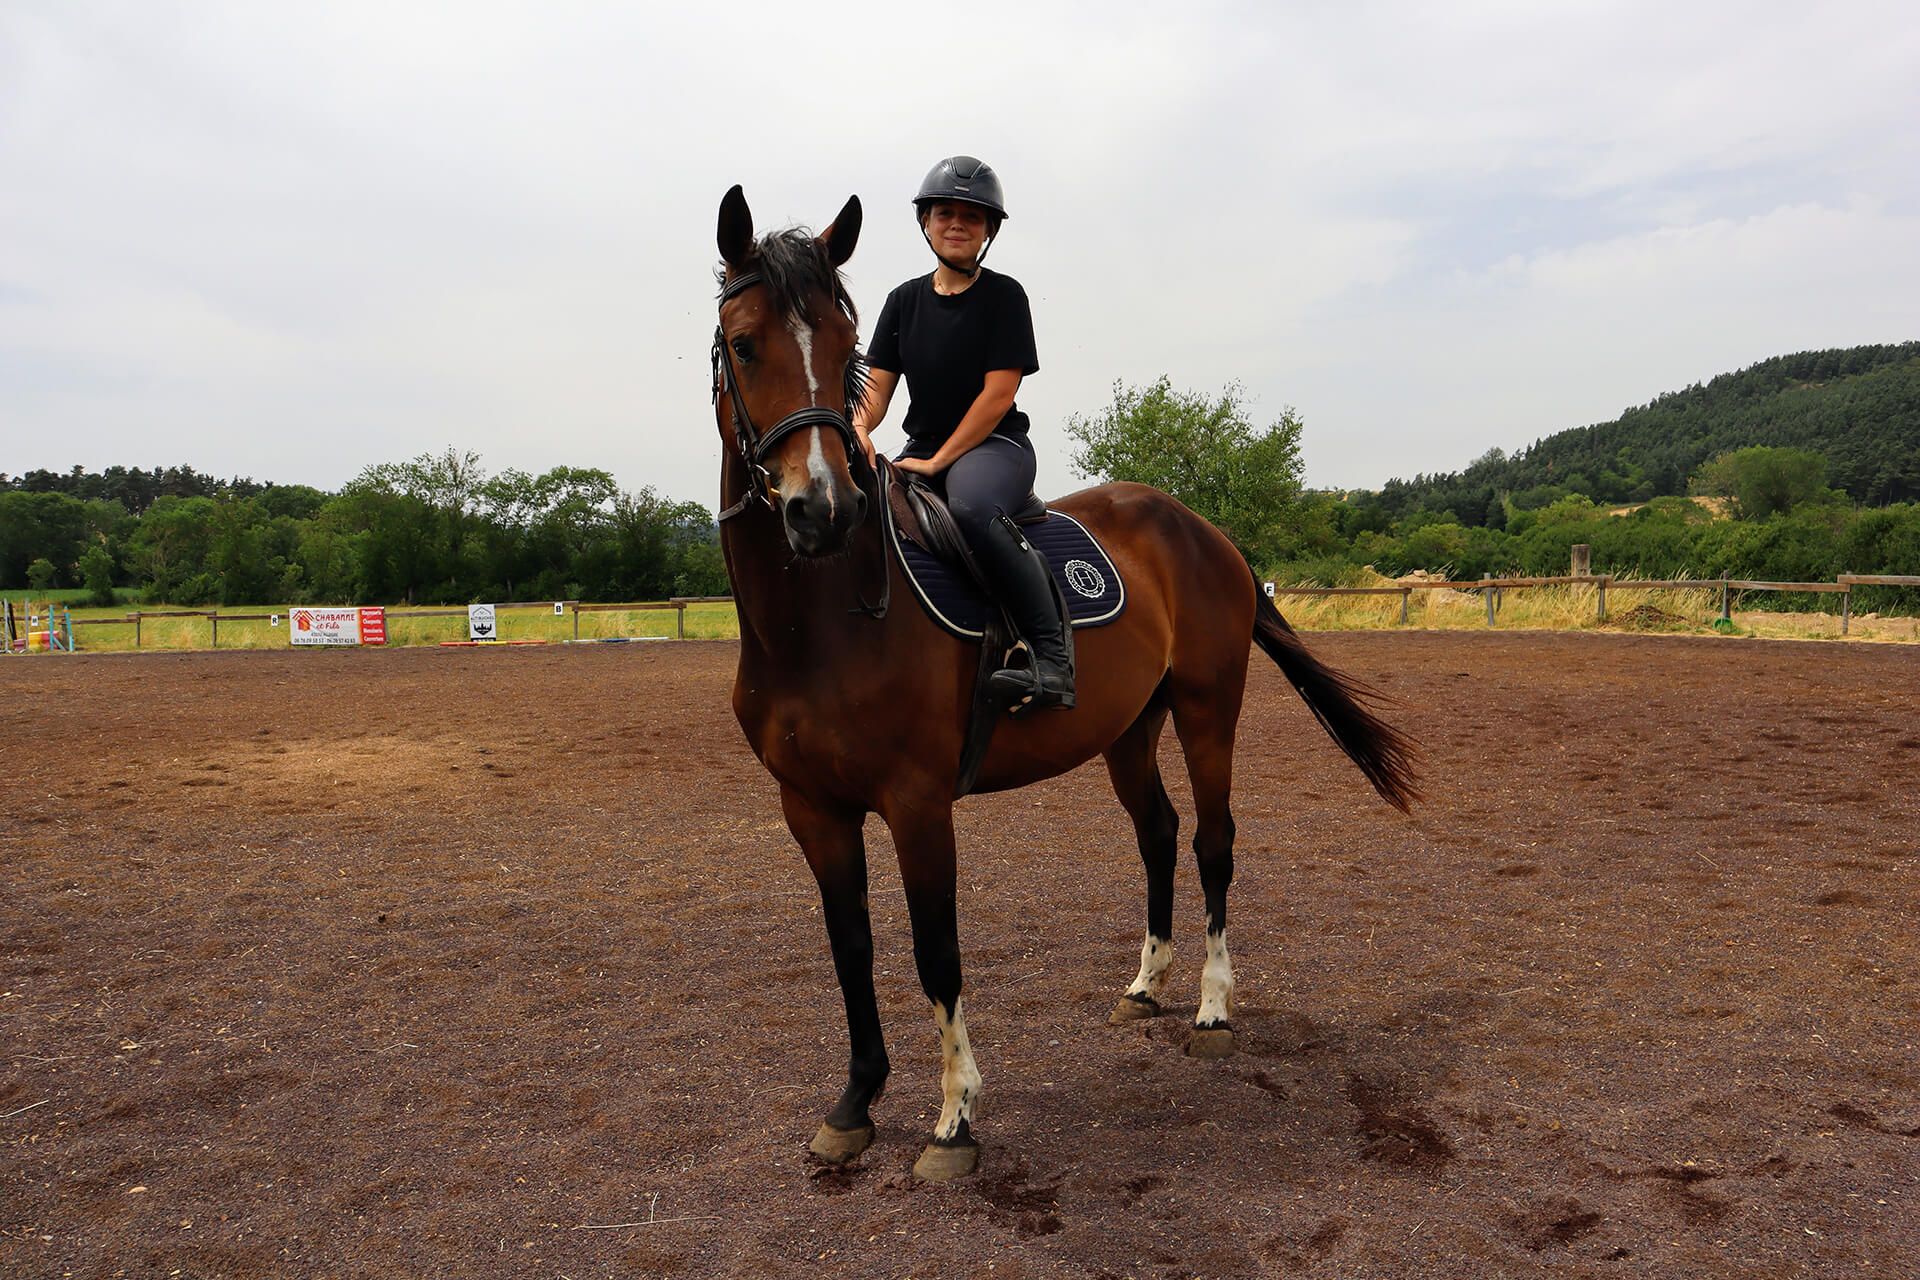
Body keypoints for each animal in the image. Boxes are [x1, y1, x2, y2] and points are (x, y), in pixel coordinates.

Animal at [709, 186, 1420, 1181]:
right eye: (743, 344)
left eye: (845, 347)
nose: (825, 508)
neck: (824, 617)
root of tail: (1199, 527)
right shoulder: (810, 807)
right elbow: (851, 947)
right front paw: (853, 1107)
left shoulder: (917, 802)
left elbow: (935, 952)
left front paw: (955, 1121)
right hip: (1128, 727)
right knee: (1159, 833)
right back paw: (1145, 987)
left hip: (1208, 708)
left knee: (1213, 841)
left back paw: (1211, 1009)